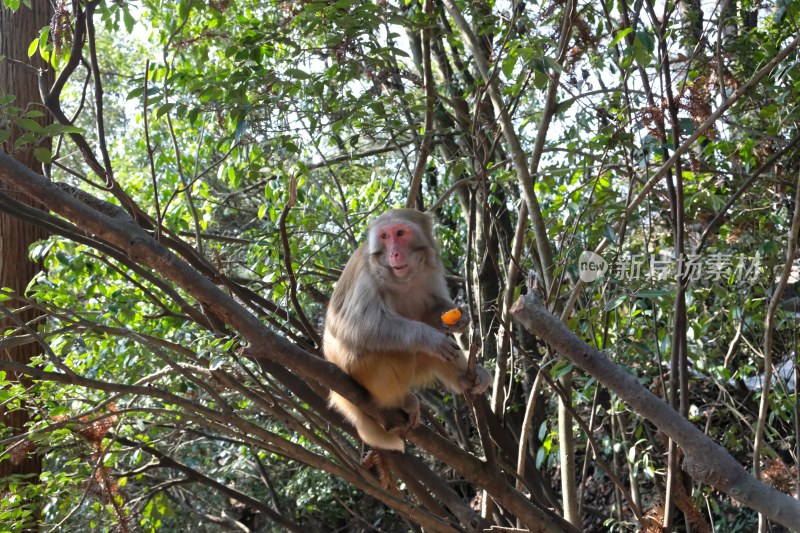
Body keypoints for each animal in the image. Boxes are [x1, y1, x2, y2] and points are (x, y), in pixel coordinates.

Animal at [324, 207, 488, 448]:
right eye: (385, 236)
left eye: (400, 233)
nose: (394, 253)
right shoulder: (368, 274)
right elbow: (354, 326)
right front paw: (430, 338)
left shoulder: (431, 270)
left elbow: (432, 309)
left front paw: (461, 317)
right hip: (363, 370)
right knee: (401, 351)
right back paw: (397, 401)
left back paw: (467, 378)